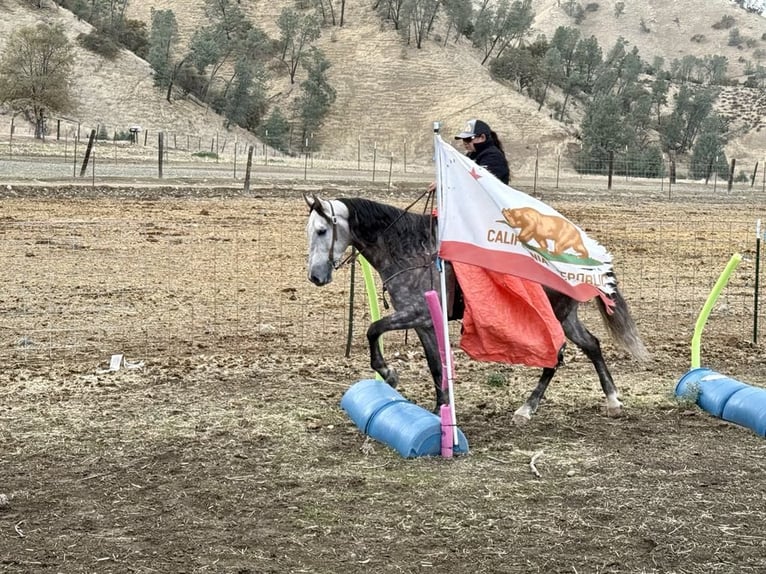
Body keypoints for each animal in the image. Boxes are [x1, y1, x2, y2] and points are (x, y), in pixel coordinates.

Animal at [306, 196, 648, 426]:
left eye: (322, 231)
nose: (315, 276)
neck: (409, 250)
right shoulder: (424, 323)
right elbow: (435, 365)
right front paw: (440, 411)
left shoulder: (416, 314)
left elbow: (372, 329)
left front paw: (388, 373)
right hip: (567, 317)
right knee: (592, 345)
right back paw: (612, 400)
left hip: (556, 317)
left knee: (557, 357)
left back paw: (526, 409)